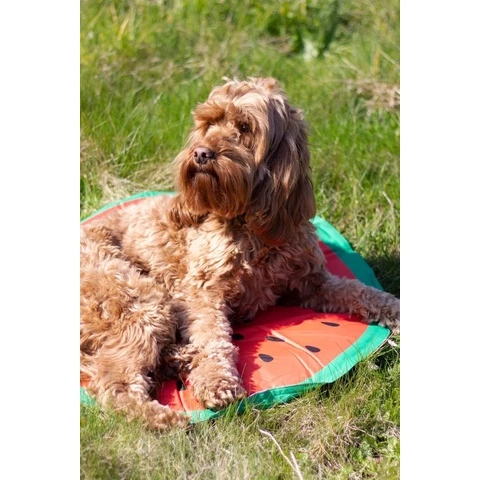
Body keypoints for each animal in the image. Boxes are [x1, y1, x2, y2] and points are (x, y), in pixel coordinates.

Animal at [80, 77, 400, 430]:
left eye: (245, 127)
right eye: (208, 123)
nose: (201, 152)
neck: (249, 224)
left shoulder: (312, 282)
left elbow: (359, 290)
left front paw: (393, 308)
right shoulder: (202, 292)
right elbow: (212, 337)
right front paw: (216, 380)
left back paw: (181, 358)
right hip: (140, 298)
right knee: (114, 381)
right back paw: (166, 416)